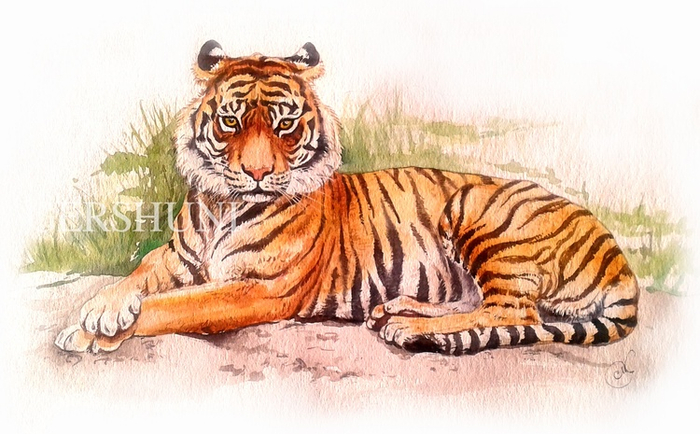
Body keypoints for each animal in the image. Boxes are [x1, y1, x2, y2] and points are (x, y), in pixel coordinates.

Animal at [55, 40, 638, 356]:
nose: (258, 173)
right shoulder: (178, 257)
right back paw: (397, 308)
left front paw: (89, 333)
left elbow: (173, 306)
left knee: (514, 312)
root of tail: (618, 256)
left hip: (481, 216)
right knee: (486, 305)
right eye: (231, 122)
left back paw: (407, 325)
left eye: (285, 124)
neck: (224, 203)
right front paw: (99, 312)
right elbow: (138, 275)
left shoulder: (259, 290)